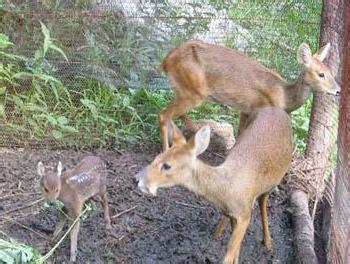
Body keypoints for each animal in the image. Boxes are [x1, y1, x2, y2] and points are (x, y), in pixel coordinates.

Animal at [160, 39, 340, 151]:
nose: (338, 90)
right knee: (164, 115)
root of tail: (166, 61)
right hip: (194, 94)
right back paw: (166, 151)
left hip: (182, 90)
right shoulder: (259, 109)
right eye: (321, 74)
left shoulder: (245, 110)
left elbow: (240, 135)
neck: (283, 97)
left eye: (331, 72)